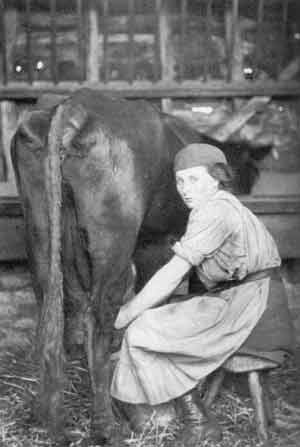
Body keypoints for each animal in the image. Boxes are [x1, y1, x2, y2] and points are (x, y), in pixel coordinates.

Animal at [11, 87, 270, 444]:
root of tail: (74, 105)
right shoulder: (160, 242)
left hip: (39, 224)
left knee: (54, 301)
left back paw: (46, 415)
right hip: (113, 236)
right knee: (98, 317)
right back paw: (106, 426)